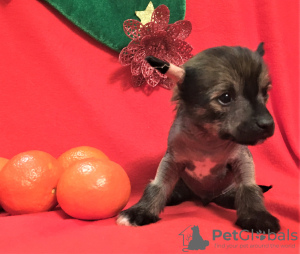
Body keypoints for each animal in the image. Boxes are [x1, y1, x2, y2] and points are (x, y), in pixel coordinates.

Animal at [116, 43, 278, 232]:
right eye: (225, 97)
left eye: (265, 92)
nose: (267, 124)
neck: (208, 140)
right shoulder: (171, 161)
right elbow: (159, 185)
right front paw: (141, 210)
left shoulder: (242, 160)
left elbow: (249, 187)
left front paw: (257, 215)